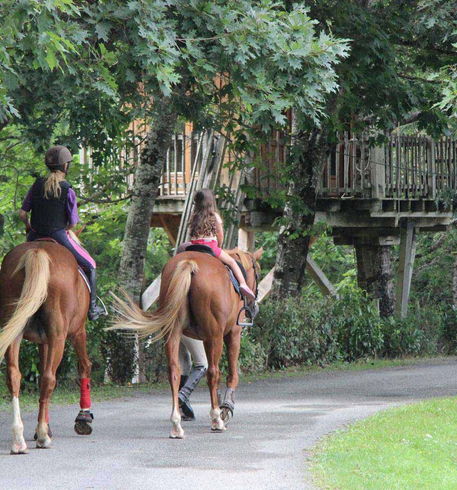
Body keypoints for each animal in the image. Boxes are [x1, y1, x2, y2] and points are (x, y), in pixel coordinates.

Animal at [0, 239, 94, 454]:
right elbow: (84, 366)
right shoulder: (78, 332)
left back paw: (19, 438)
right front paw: (83, 417)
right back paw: (43, 436)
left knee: (14, 376)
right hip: (58, 336)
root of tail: (37, 251)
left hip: (14, 327)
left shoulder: (43, 342)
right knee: (49, 378)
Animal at [109, 247, 262, 438]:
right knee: (212, 372)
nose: (254, 307)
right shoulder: (233, 334)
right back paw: (216, 420)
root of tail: (189, 264)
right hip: (214, 337)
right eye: (257, 273)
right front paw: (226, 408)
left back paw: (177, 423)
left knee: (174, 372)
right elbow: (232, 374)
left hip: (173, 333)